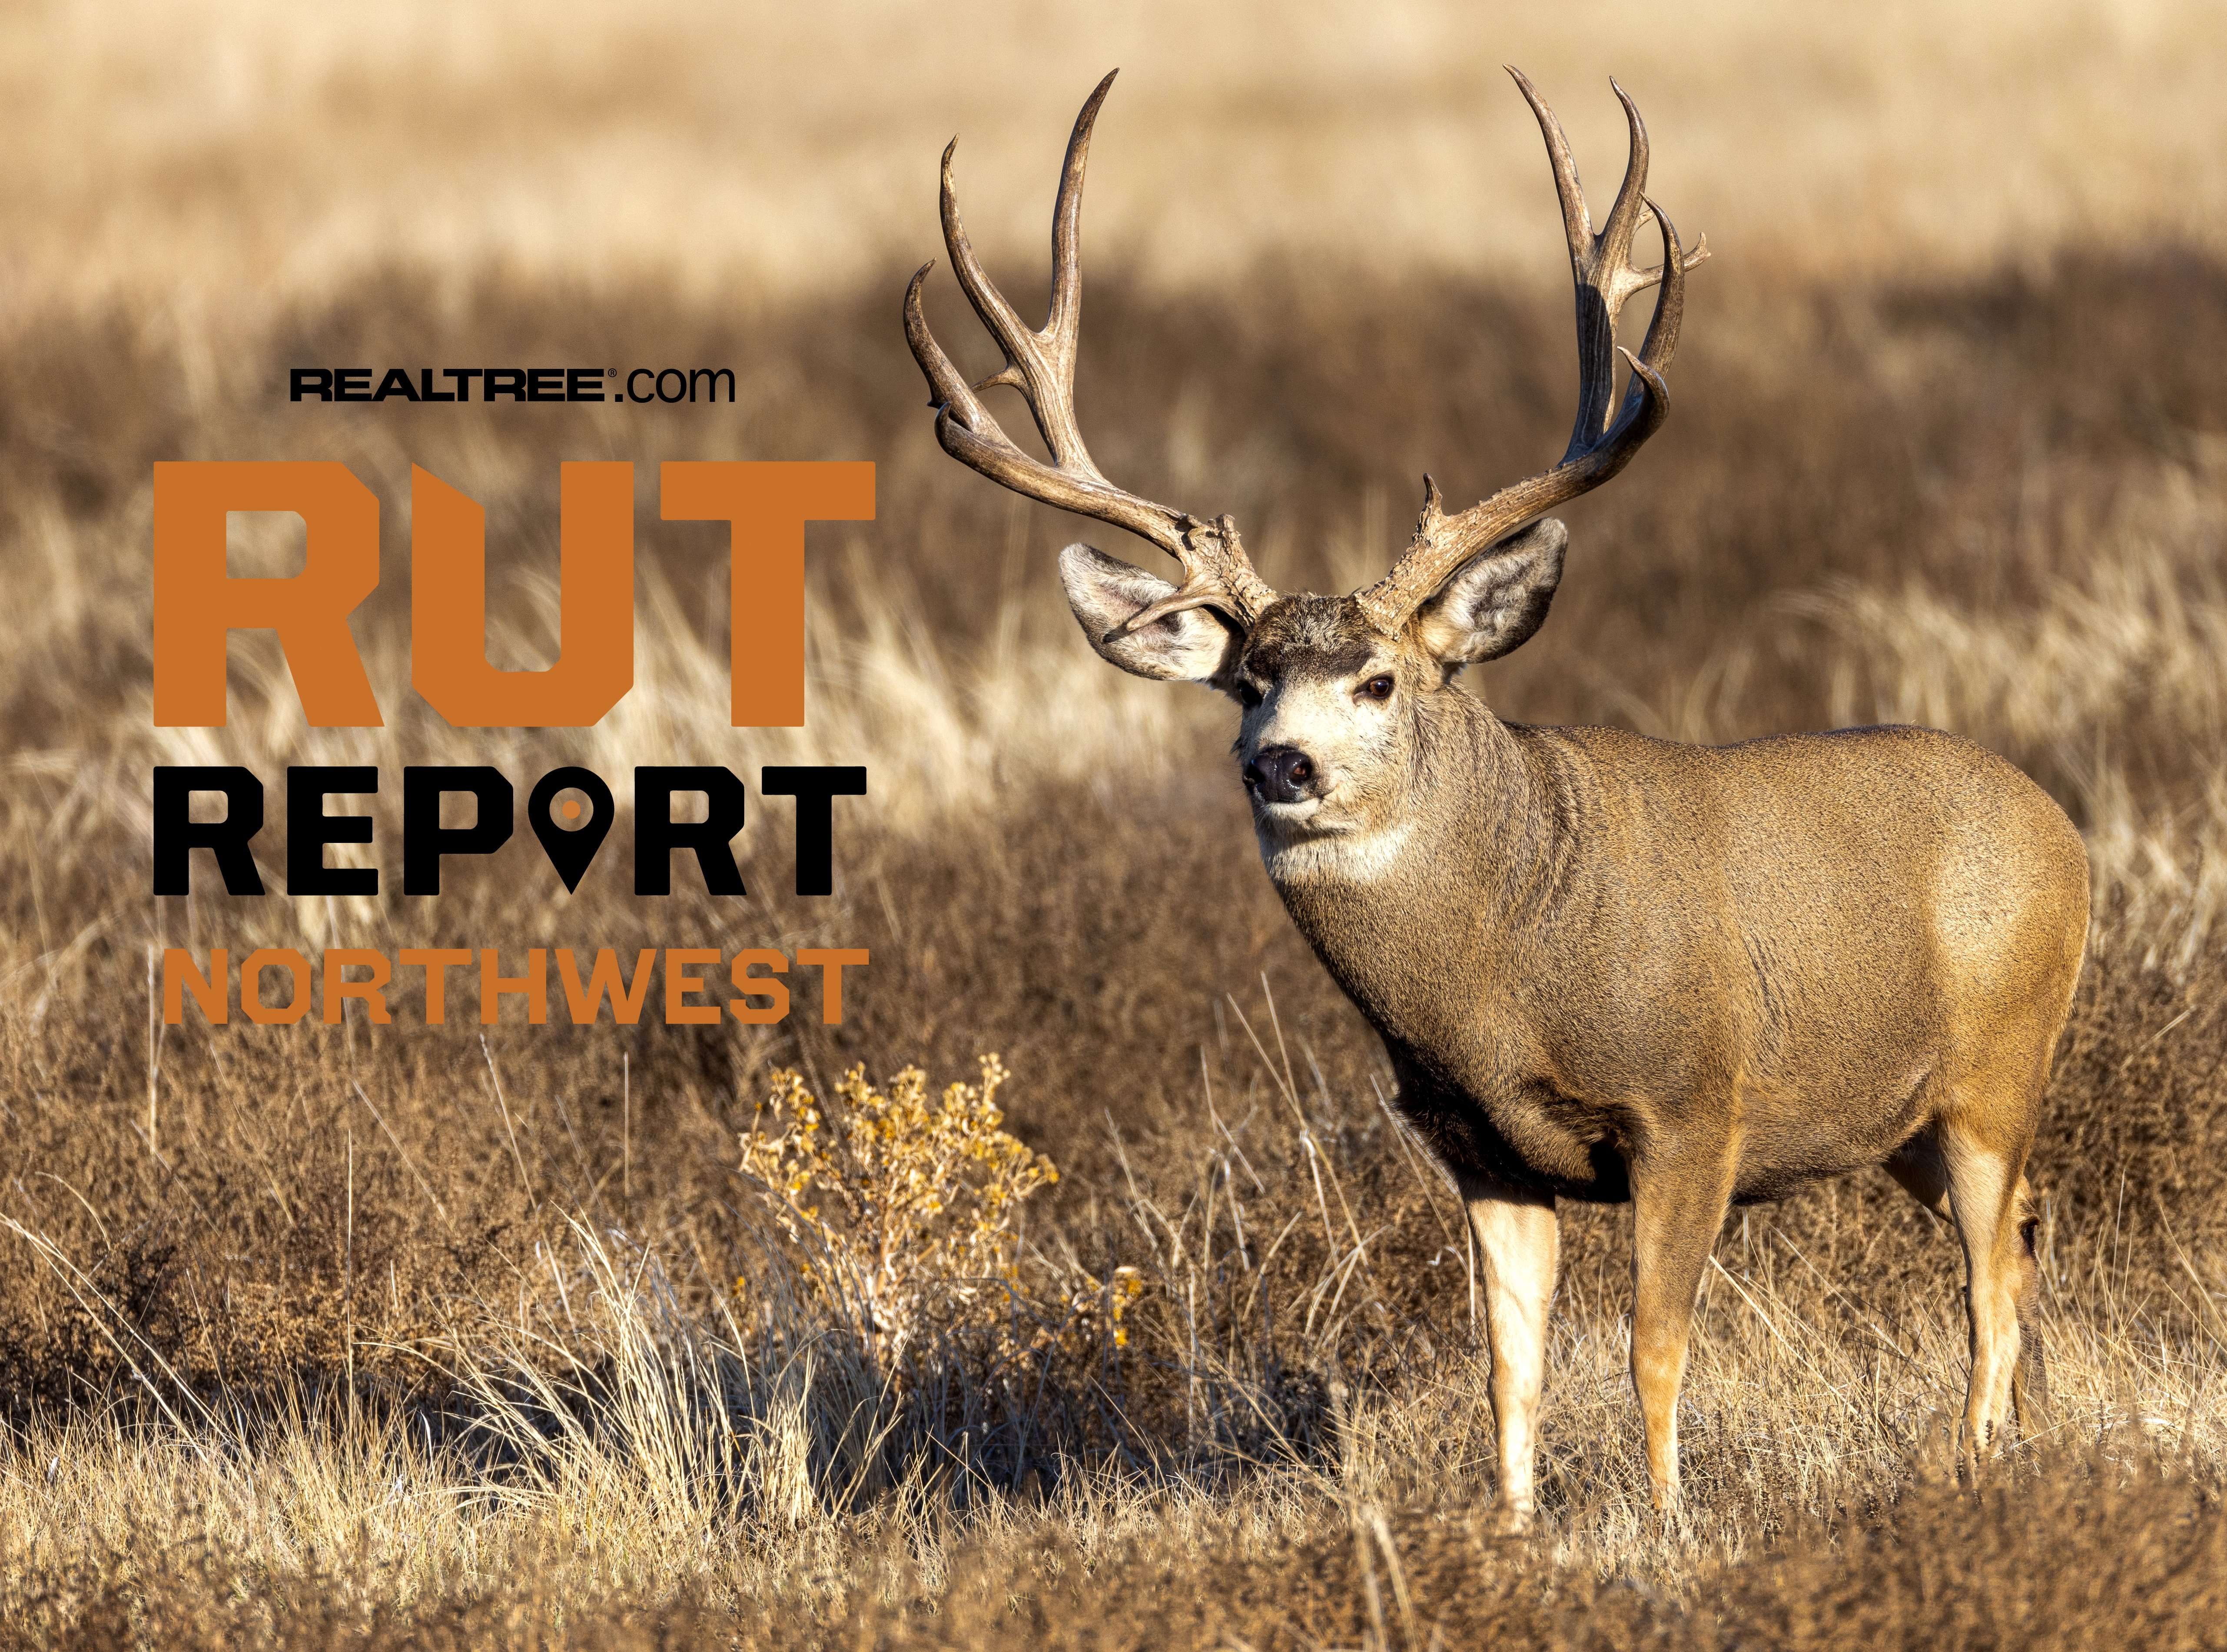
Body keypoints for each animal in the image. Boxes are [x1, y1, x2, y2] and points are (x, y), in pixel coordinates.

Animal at [902, 68, 2090, 1532]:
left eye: (1376, 678)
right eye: (1244, 681)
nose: (1276, 763)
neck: (1504, 967)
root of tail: (2060, 826)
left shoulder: (1689, 1104)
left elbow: (1651, 1344)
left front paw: (1666, 1522)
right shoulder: (1480, 1149)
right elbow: (1507, 1367)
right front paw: (1514, 1531)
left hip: (1996, 1067)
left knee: (1989, 1276)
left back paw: (1973, 1467)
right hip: (1910, 1128)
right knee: (2026, 1241)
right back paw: (2024, 1447)